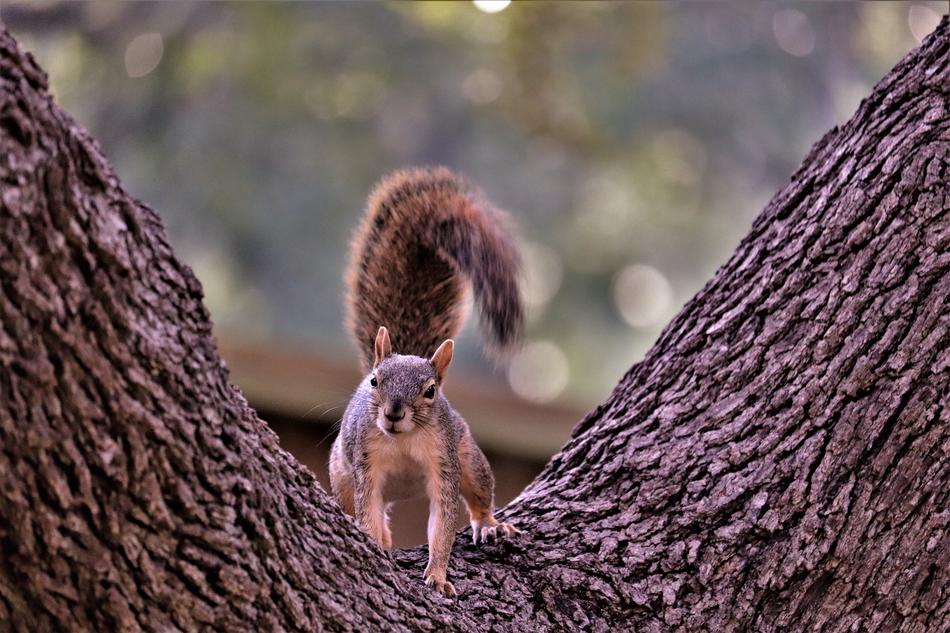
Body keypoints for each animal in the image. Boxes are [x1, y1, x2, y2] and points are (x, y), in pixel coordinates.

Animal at [329, 166, 524, 597]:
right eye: (374, 381)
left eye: (431, 391)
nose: (393, 413)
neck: (402, 442)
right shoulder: (366, 465)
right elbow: (369, 509)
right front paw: (376, 545)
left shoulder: (443, 464)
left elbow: (443, 521)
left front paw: (437, 574)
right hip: (340, 473)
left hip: (469, 458)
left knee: (480, 495)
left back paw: (489, 524)